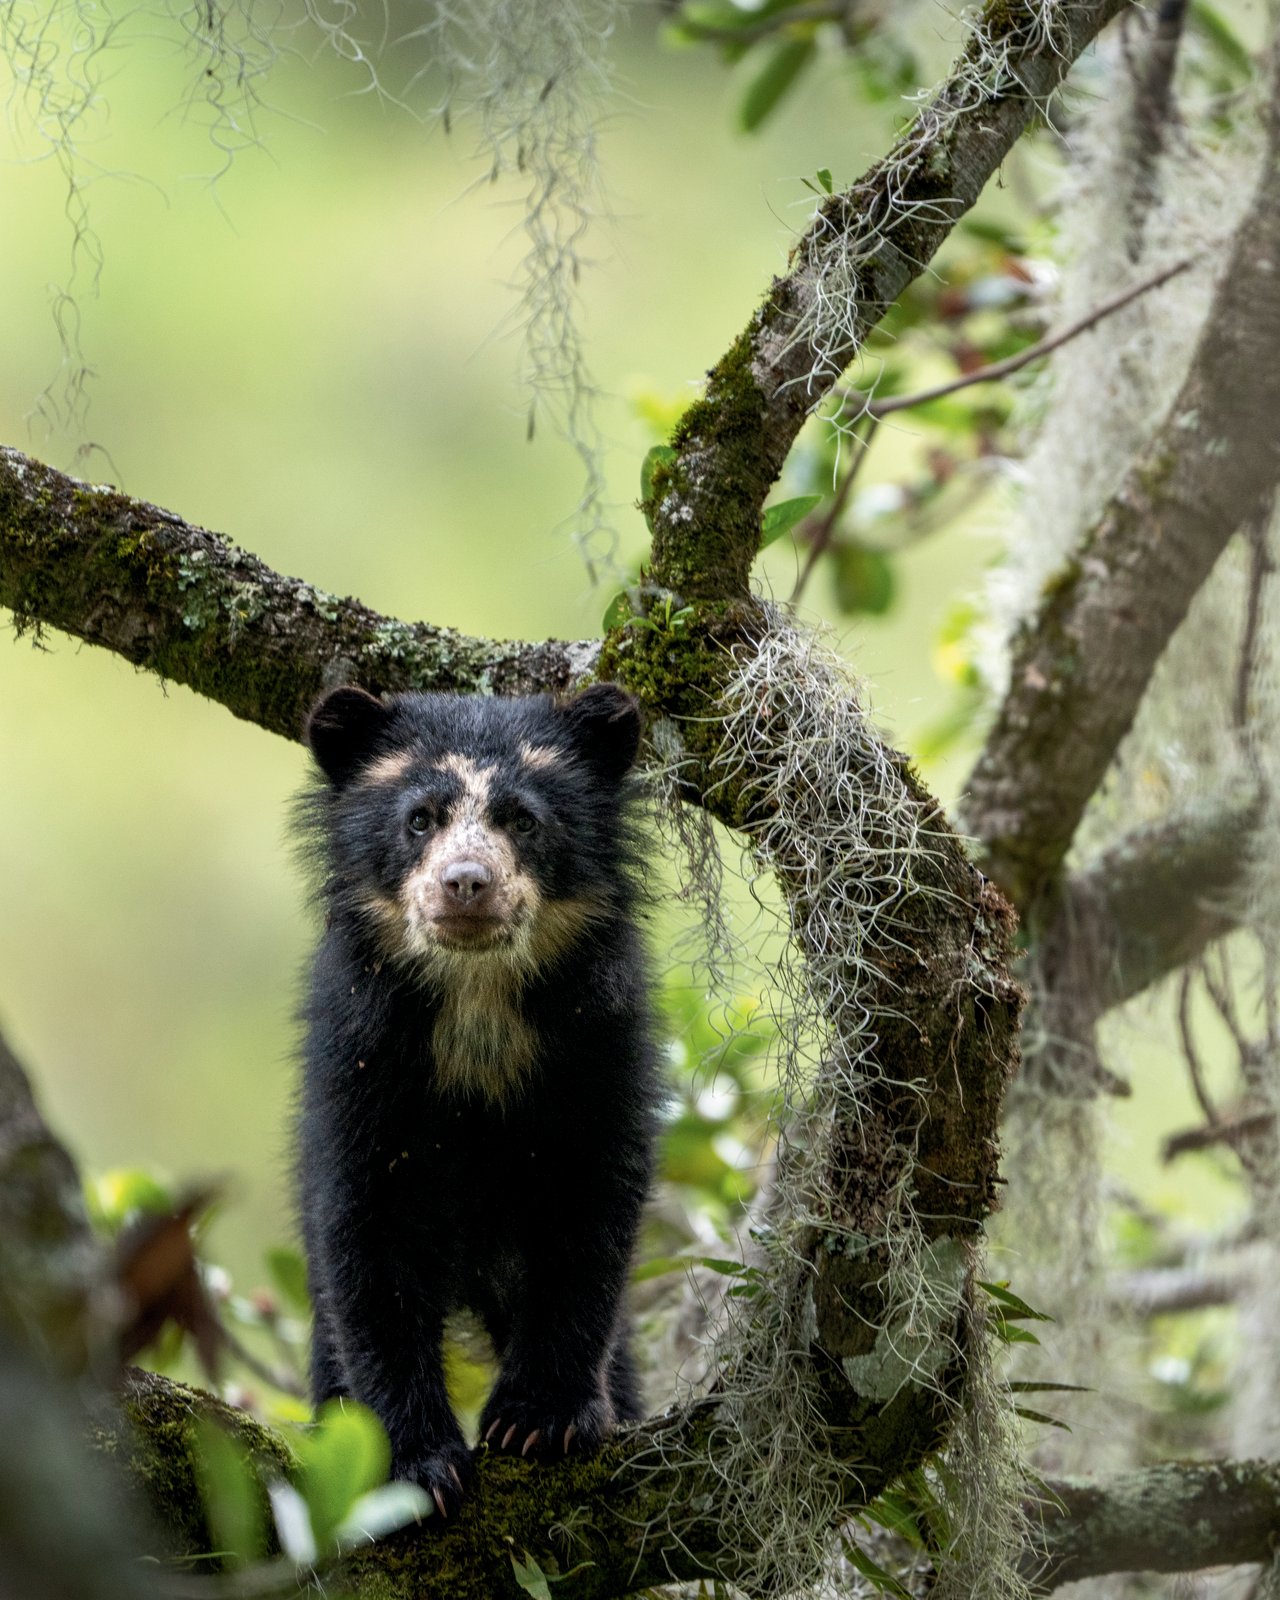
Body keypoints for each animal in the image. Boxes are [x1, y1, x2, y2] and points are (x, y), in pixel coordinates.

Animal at [295, 682, 658, 1518]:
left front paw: (540, 1422)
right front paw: (415, 1464)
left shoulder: (600, 1040)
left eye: (522, 819)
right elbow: (367, 1235)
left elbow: (591, 1213)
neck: (477, 999)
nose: (466, 883)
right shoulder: (358, 1055)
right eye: (420, 818)